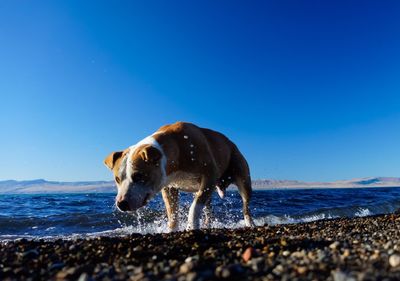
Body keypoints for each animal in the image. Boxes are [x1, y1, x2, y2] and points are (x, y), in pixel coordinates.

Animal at [104, 121, 255, 229]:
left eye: (139, 176)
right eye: (117, 179)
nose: (121, 203)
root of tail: (231, 143)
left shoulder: (209, 176)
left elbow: (194, 207)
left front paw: (191, 226)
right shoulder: (169, 186)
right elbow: (172, 212)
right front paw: (172, 230)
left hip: (242, 177)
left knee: (245, 205)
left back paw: (250, 223)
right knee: (208, 208)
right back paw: (207, 225)